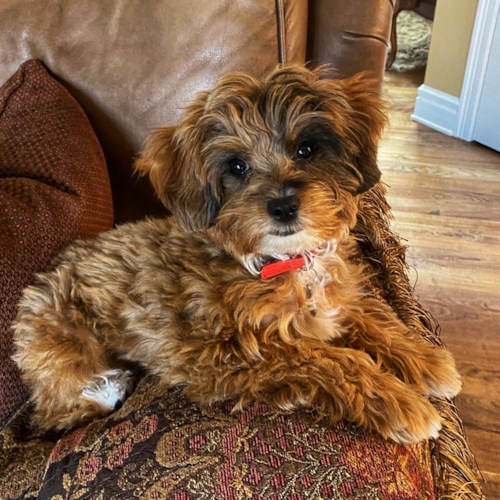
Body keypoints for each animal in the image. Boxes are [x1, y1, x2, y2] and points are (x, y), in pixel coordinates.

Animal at [10, 65, 460, 442]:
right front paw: (402, 404)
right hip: (66, 351)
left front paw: (427, 362)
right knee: (58, 409)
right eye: (237, 167)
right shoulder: (225, 355)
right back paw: (108, 387)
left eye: (306, 149)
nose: (282, 206)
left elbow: (375, 320)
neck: (283, 262)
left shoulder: (337, 302)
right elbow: (333, 360)